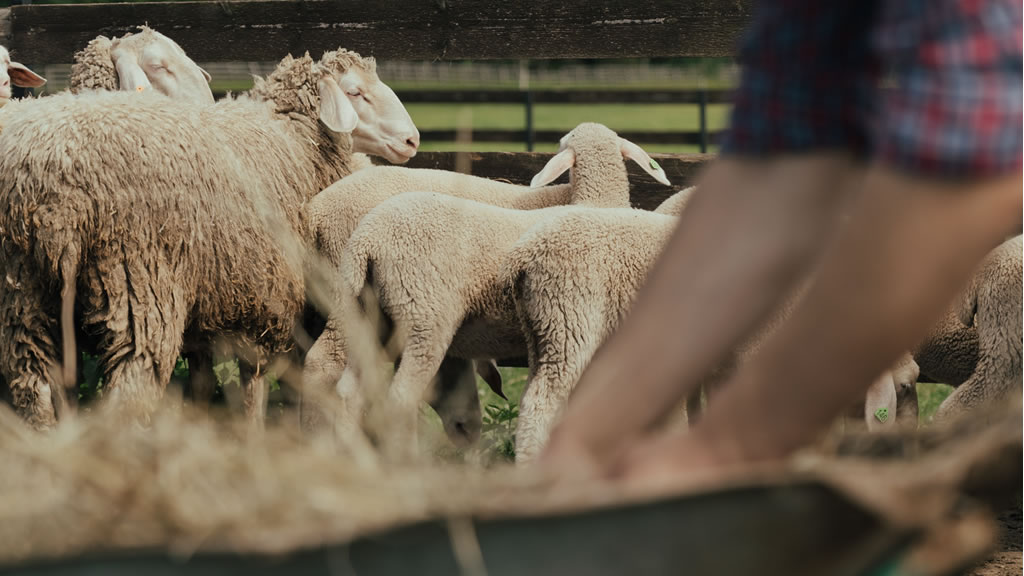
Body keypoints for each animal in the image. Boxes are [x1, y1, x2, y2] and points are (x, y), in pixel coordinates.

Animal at [0, 48, 419, 426]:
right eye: (354, 92)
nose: (412, 140)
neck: (290, 139)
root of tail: (49, 183)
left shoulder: (210, 308)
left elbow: (203, 384)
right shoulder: (265, 301)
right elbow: (255, 388)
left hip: (23, 294)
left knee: (35, 386)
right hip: (138, 283)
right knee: (130, 391)